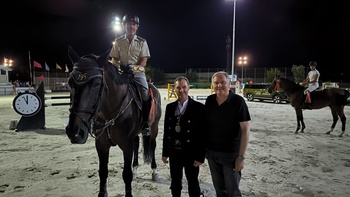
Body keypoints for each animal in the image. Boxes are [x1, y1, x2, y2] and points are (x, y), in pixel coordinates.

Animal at [65, 45, 161, 195]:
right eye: (70, 82)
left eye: (97, 83)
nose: (74, 132)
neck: (109, 114)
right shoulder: (101, 145)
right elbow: (103, 172)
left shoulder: (126, 145)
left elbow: (126, 175)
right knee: (137, 144)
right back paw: (135, 170)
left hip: (154, 128)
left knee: (152, 145)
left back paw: (154, 172)